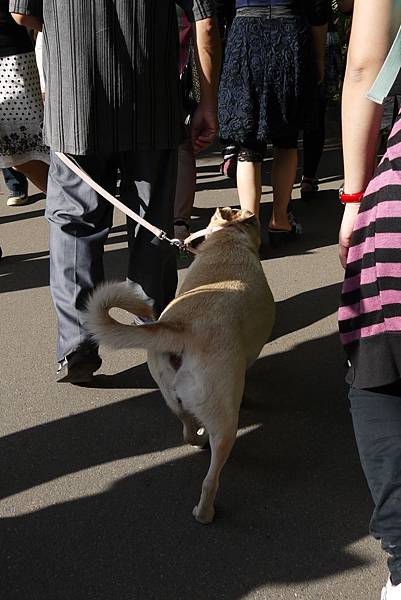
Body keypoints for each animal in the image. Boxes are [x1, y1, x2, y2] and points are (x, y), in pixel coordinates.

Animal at [85, 207, 276, 524]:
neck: (227, 240)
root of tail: (182, 329)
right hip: (225, 422)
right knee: (210, 477)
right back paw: (205, 512)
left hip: (171, 395)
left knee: (186, 424)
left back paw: (197, 439)